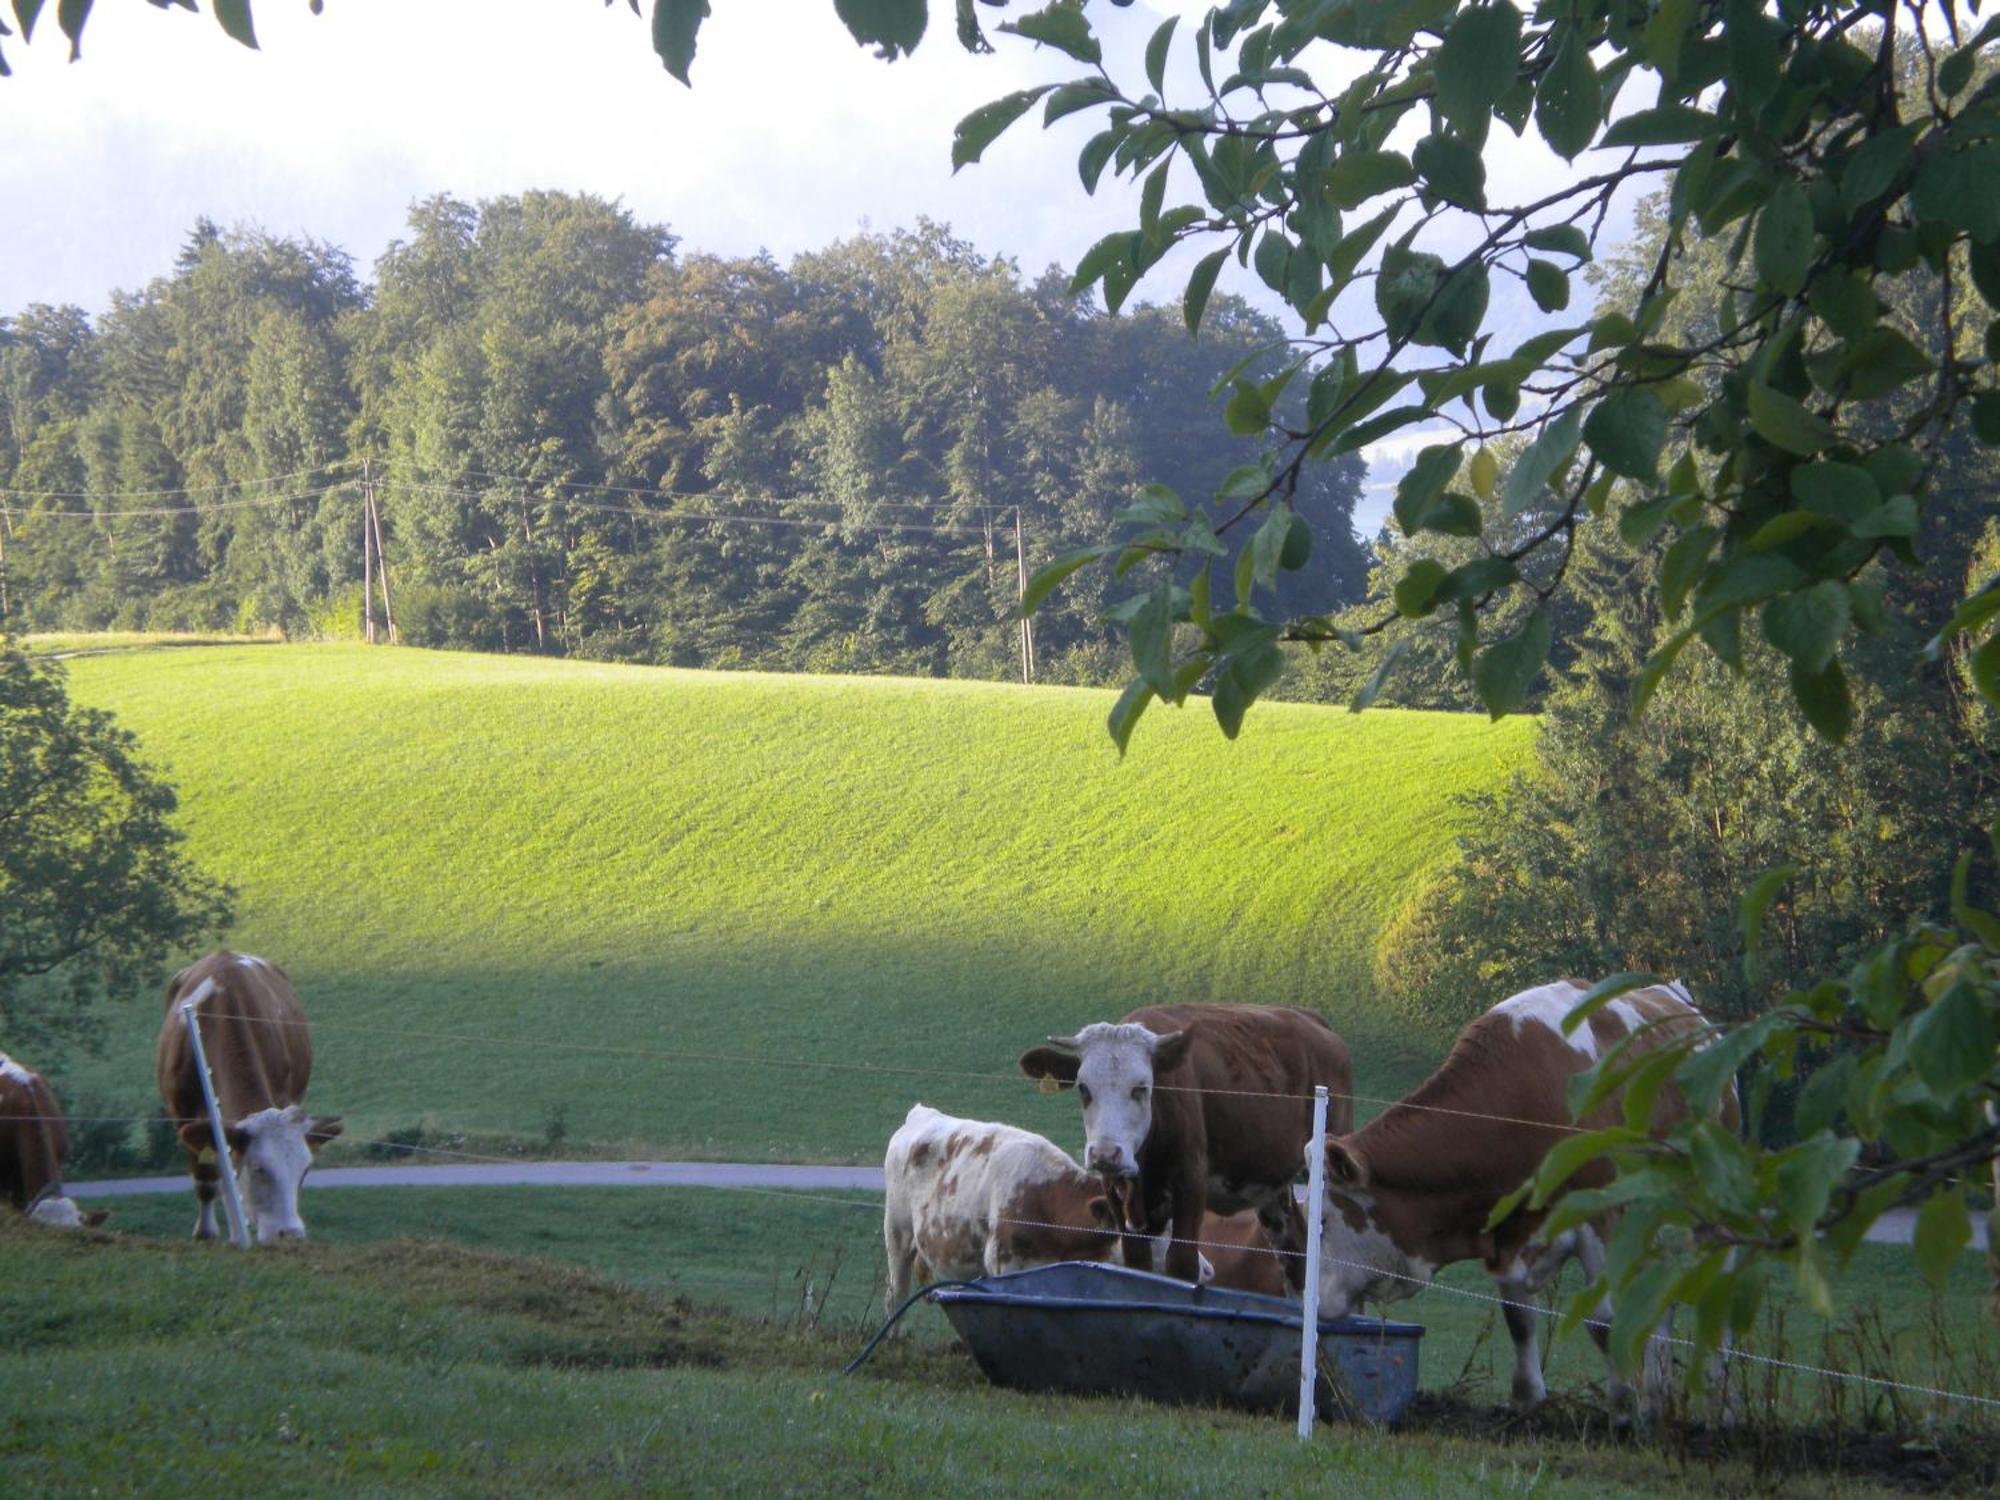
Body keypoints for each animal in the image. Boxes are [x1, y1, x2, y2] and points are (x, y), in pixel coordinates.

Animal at [157, 956, 344, 1248]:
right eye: (259, 1169)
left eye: (304, 1170)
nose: (290, 1234)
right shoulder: (184, 1114)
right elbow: (207, 1180)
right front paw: (207, 1234)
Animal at [1024, 1004, 1352, 1288]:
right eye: (1083, 1088)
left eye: (1141, 1087)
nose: (1105, 1154)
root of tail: (1314, 1022)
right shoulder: (1116, 1194)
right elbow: (1138, 1264)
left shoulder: (1191, 1182)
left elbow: (1181, 1263)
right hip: (1271, 1187)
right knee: (1294, 1253)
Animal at [1312, 980, 1736, 1416]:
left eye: (1323, 1220)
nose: (1314, 1304)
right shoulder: (1506, 1227)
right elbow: (1518, 1315)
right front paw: (1527, 1400)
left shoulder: (1599, 1214)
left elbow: (1603, 1320)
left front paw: (1622, 1405)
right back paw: (1658, 1395)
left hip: (1710, 1204)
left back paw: (1721, 1407)